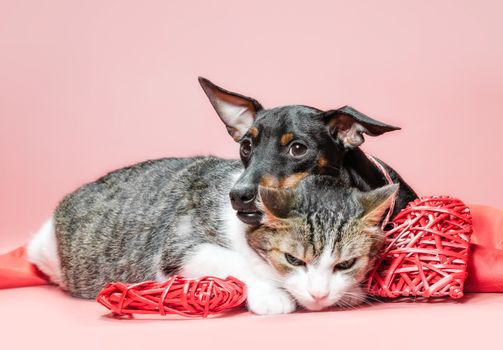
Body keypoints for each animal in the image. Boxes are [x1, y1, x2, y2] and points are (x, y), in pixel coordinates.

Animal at [27, 156, 398, 314]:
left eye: (346, 264)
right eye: (293, 259)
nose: (319, 295)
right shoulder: (180, 244)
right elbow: (232, 261)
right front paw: (271, 293)